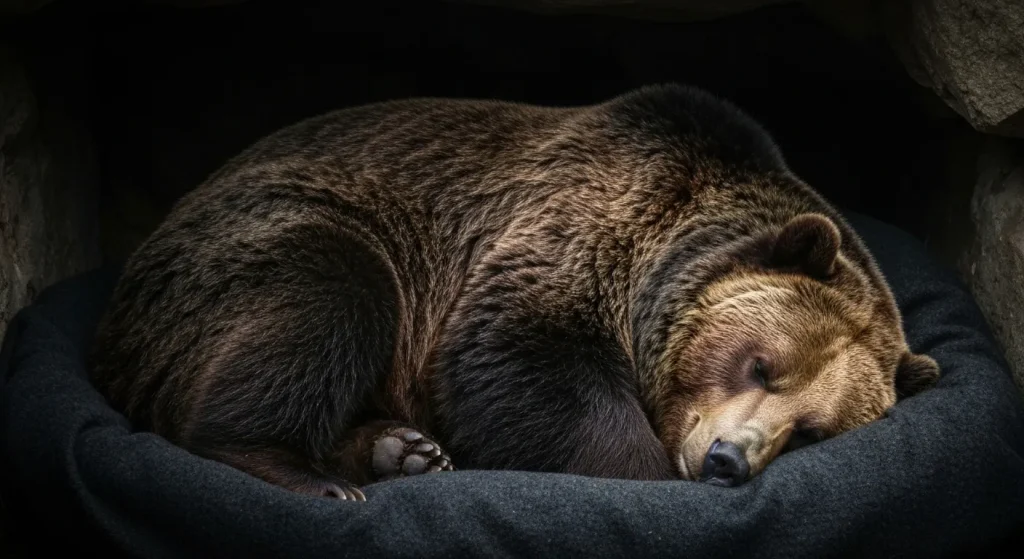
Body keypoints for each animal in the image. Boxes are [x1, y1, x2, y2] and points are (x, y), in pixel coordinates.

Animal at [88, 83, 940, 501]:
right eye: (760, 362)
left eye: (814, 430)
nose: (729, 459)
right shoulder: (574, 229)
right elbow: (513, 359)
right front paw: (646, 473)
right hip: (269, 235)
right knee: (328, 293)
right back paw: (311, 474)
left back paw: (402, 450)